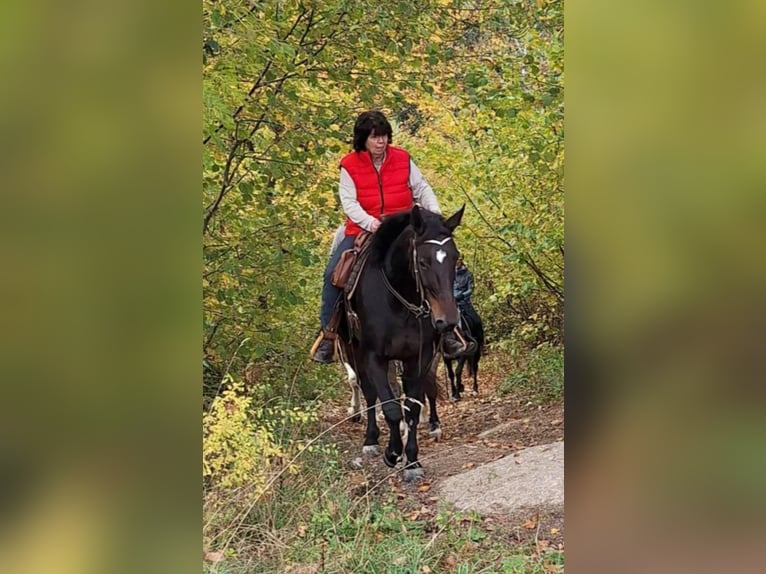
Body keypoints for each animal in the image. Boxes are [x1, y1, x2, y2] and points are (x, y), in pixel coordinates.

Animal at [340, 206, 464, 482]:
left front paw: (412, 461)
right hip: (354, 351)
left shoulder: (417, 358)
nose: (448, 321)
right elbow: (391, 408)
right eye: (423, 262)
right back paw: (371, 440)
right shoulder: (374, 358)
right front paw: (393, 453)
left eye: (455, 258)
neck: (399, 300)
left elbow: (412, 408)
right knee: (369, 392)